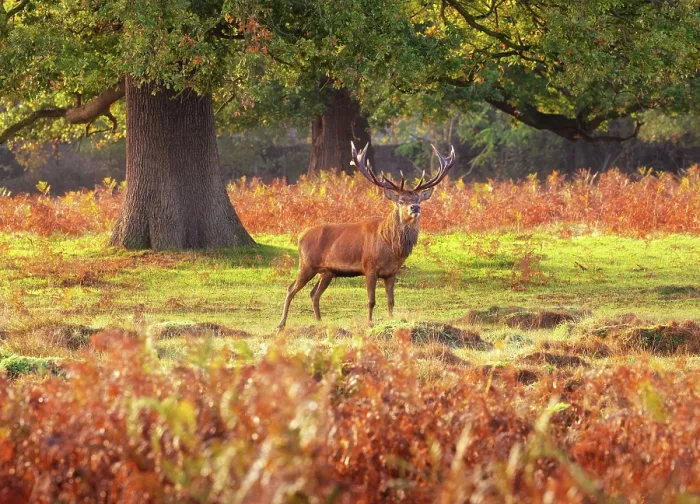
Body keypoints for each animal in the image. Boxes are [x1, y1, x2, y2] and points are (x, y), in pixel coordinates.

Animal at [276, 141, 455, 330]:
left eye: (418, 199)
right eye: (401, 200)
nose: (415, 207)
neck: (389, 245)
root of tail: (300, 236)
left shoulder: (391, 273)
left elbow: (391, 301)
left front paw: (391, 321)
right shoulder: (369, 267)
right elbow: (371, 300)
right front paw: (369, 323)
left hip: (327, 272)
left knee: (314, 293)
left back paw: (319, 322)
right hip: (307, 264)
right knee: (290, 289)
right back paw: (281, 324)